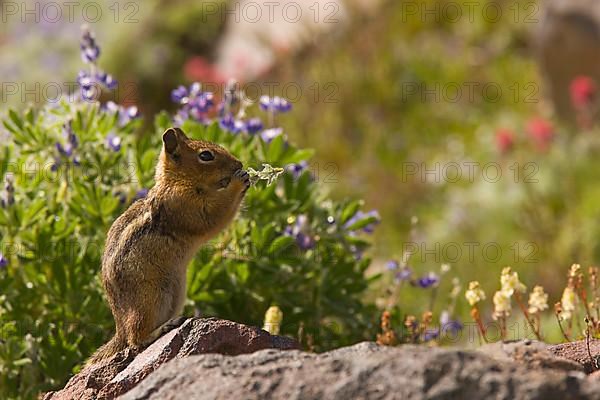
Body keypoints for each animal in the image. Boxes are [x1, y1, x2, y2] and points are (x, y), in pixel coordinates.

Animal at [86, 126, 248, 364]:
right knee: (135, 339)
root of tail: (119, 329)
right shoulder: (185, 204)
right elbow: (215, 215)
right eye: (206, 155)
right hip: (149, 300)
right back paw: (161, 330)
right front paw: (240, 181)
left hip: (176, 294)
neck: (178, 182)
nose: (239, 164)